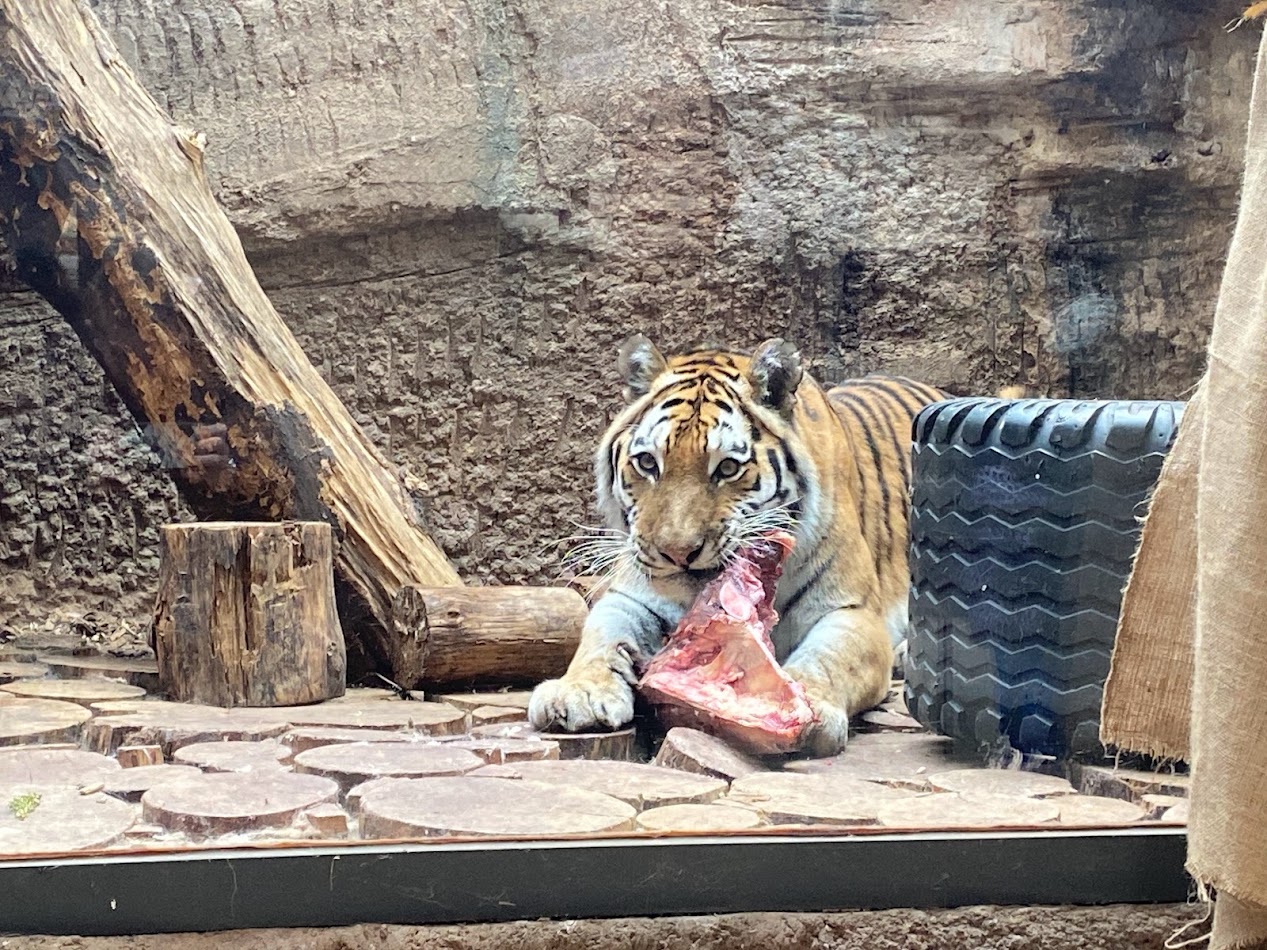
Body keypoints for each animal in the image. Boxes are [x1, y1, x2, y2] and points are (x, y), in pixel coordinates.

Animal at [528, 334, 948, 756]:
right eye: (647, 463)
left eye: (728, 468)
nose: (677, 552)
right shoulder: (629, 595)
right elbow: (601, 638)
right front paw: (579, 692)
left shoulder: (851, 612)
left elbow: (826, 659)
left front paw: (805, 704)